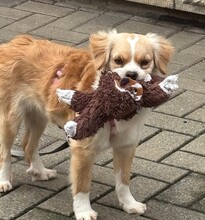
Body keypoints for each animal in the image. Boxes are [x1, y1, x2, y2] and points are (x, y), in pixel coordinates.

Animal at [0, 30, 173, 219]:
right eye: (118, 60)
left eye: (145, 62)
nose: (131, 75)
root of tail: (11, 44)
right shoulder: (83, 148)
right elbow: (82, 185)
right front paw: (83, 211)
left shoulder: (125, 146)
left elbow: (123, 180)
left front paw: (129, 204)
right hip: (11, 119)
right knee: (5, 152)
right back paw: (4, 180)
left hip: (39, 117)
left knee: (28, 145)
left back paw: (40, 171)